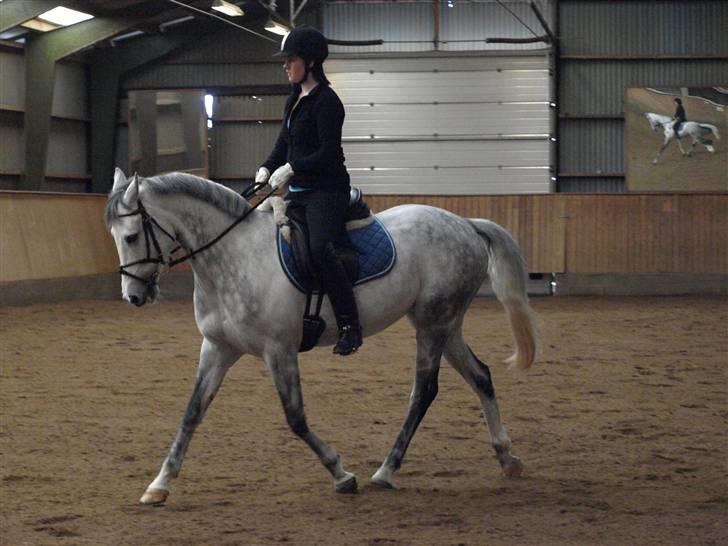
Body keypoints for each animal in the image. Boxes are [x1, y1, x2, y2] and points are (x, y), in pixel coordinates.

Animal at [106, 168, 540, 504]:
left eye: (131, 236)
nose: (134, 296)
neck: (232, 256)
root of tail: (465, 224)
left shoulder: (279, 350)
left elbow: (295, 418)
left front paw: (341, 474)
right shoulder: (218, 348)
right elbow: (192, 412)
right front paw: (159, 485)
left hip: (434, 323)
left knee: (424, 391)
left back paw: (385, 471)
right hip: (443, 324)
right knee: (481, 376)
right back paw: (508, 458)